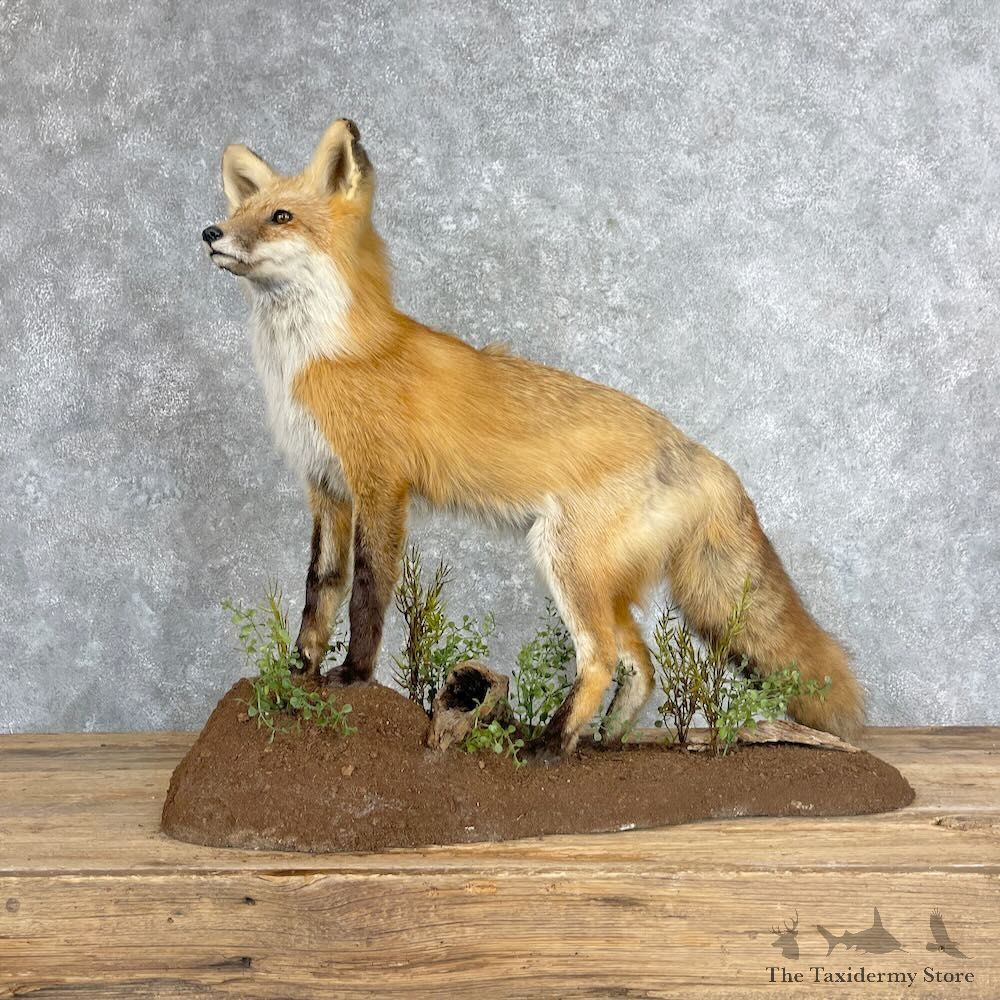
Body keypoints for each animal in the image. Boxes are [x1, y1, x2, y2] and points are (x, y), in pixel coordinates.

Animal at [202, 118, 864, 757]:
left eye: (280, 217)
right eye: (239, 212)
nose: (210, 232)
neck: (323, 357)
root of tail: (697, 450)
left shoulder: (380, 488)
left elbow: (366, 590)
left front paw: (353, 677)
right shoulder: (326, 488)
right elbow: (321, 590)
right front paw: (299, 672)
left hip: (564, 561)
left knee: (601, 658)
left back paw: (547, 744)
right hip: (598, 578)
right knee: (642, 666)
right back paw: (599, 742)